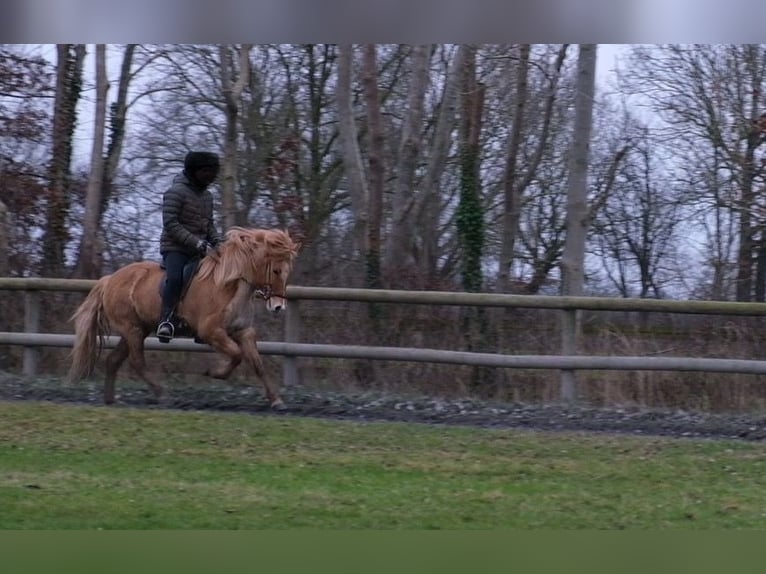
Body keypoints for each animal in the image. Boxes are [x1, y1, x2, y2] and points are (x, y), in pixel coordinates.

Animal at [67, 227, 300, 412]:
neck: (229, 285)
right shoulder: (211, 332)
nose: (278, 307)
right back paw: (162, 394)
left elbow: (257, 363)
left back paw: (110, 399)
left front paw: (277, 400)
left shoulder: (243, 332)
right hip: (131, 329)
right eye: (276, 270)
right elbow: (236, 355)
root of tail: (109, 280)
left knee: (114, 360)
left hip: (137, 329)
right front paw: (213, 373)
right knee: (137, 362)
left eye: (288, 272)